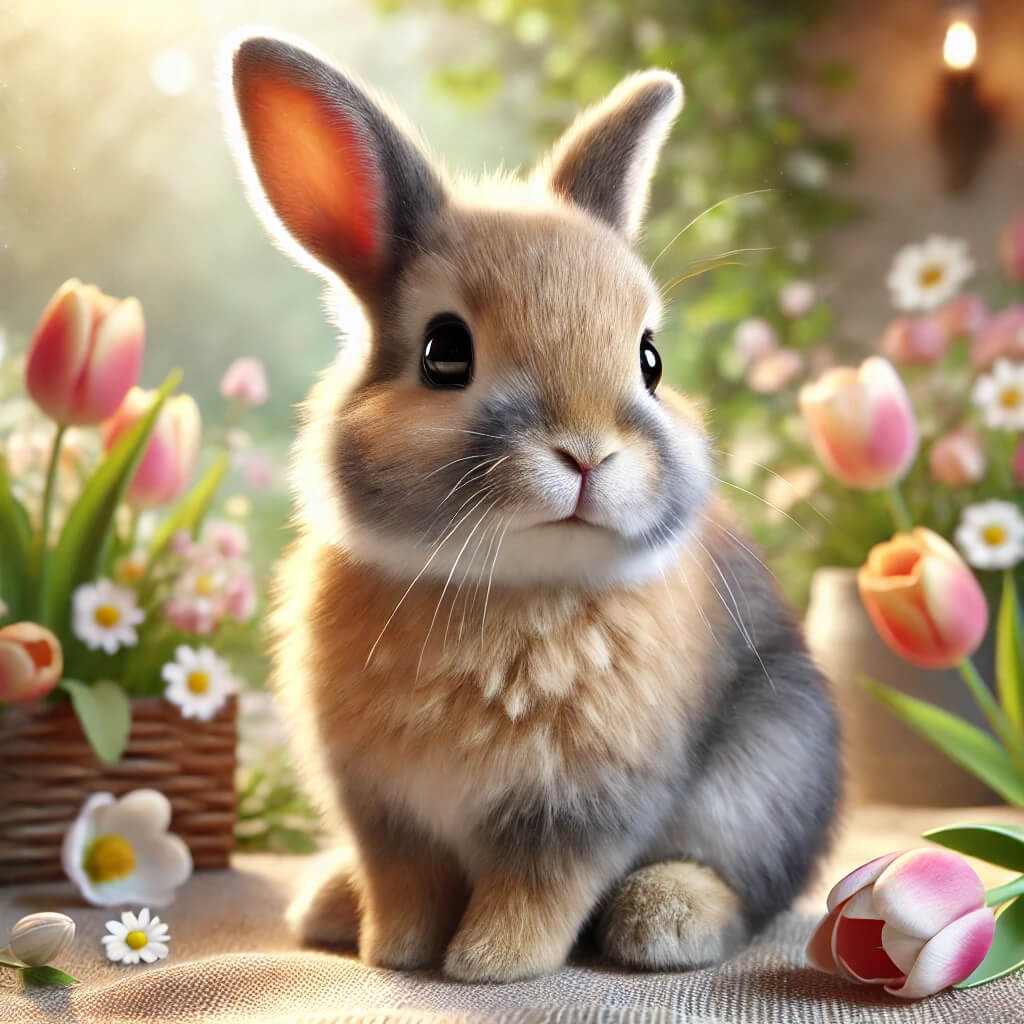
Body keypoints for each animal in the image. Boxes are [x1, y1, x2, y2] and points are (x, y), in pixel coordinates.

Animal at [224, 32, 841, 983]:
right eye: (444, 352)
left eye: (650, 360)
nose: (588, 454)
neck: (503, 587)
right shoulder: (383, 809)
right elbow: (405, 883)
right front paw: (394, 953)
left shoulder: (578, 808)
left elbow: (539, 890)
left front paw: (490, 964)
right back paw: (328, 902)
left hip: (768, 774)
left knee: (751, 889)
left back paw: (667, 919)